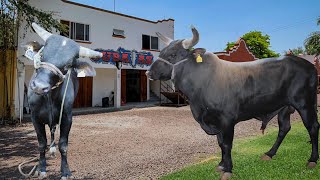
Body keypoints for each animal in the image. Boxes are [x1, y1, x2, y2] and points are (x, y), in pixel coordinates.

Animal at [23, 22, 120, 179]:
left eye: (68, 65)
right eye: (42, 55)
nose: (39, 86)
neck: (49, 98)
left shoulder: (67, 117)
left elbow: (63, 145)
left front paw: (65, 171)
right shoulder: (34, 118)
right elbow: (41, 143)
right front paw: (41, 168)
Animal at [147, 27, 320, 179]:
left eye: (173, 54)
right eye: (161, 52)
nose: (148, 72)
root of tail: (309, 65)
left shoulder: (227, 120)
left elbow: (226, 144)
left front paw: (228, 170)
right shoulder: (214, 121)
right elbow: (220, 143)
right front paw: (221, 165)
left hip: (305, 104)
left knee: (312, 127)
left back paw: (312, 160)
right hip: (284, 108)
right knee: (284, 128)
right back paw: (269, 154)